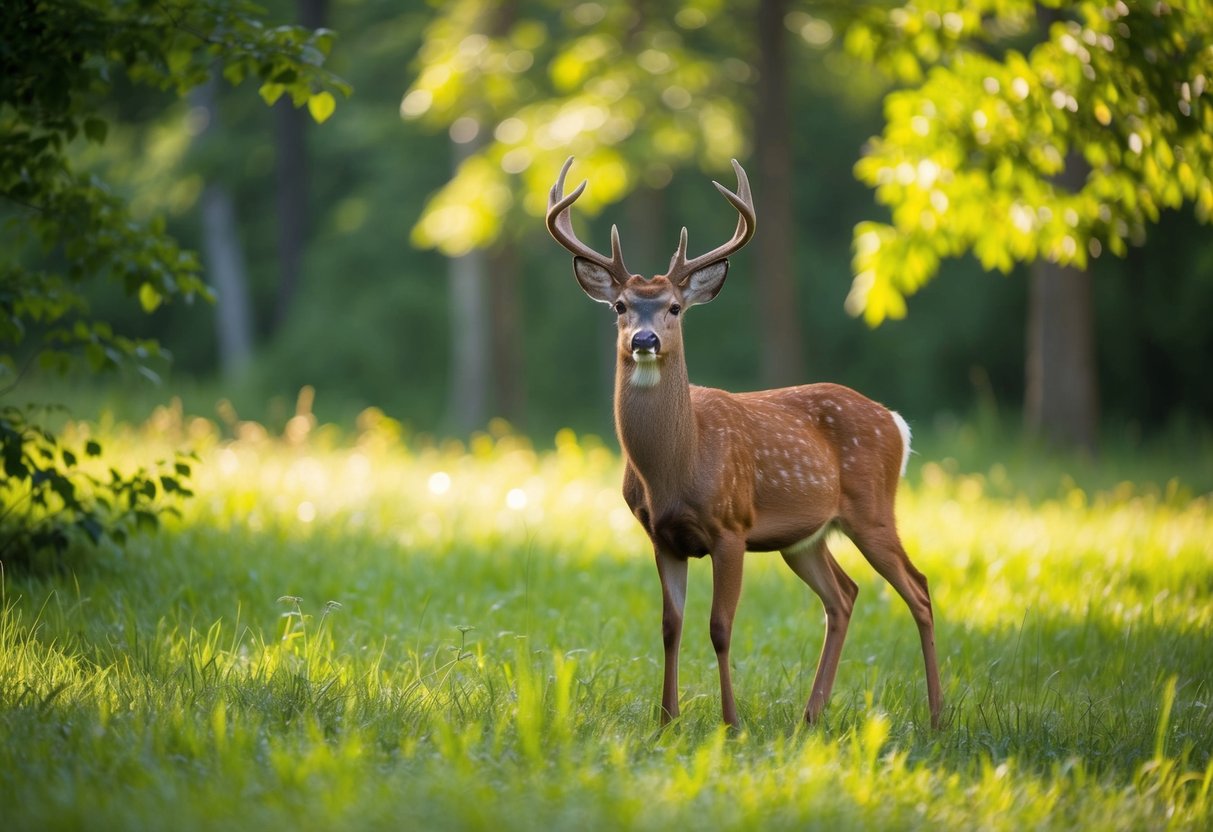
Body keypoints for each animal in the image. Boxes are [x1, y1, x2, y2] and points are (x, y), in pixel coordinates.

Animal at [546, 156, 942, 730]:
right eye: (620, 305)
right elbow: (670, 626)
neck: (675, 468)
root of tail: (895, 422)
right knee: (843, 595)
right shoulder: (661, 536)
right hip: (804, 537)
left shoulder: (730, 526)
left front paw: (731, 724)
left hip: (872, 509)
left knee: (919, 588)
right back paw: (811, 715)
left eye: (674, 308)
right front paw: (666, 720)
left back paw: (937, 718)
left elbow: (720, 626)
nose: (644, 340)